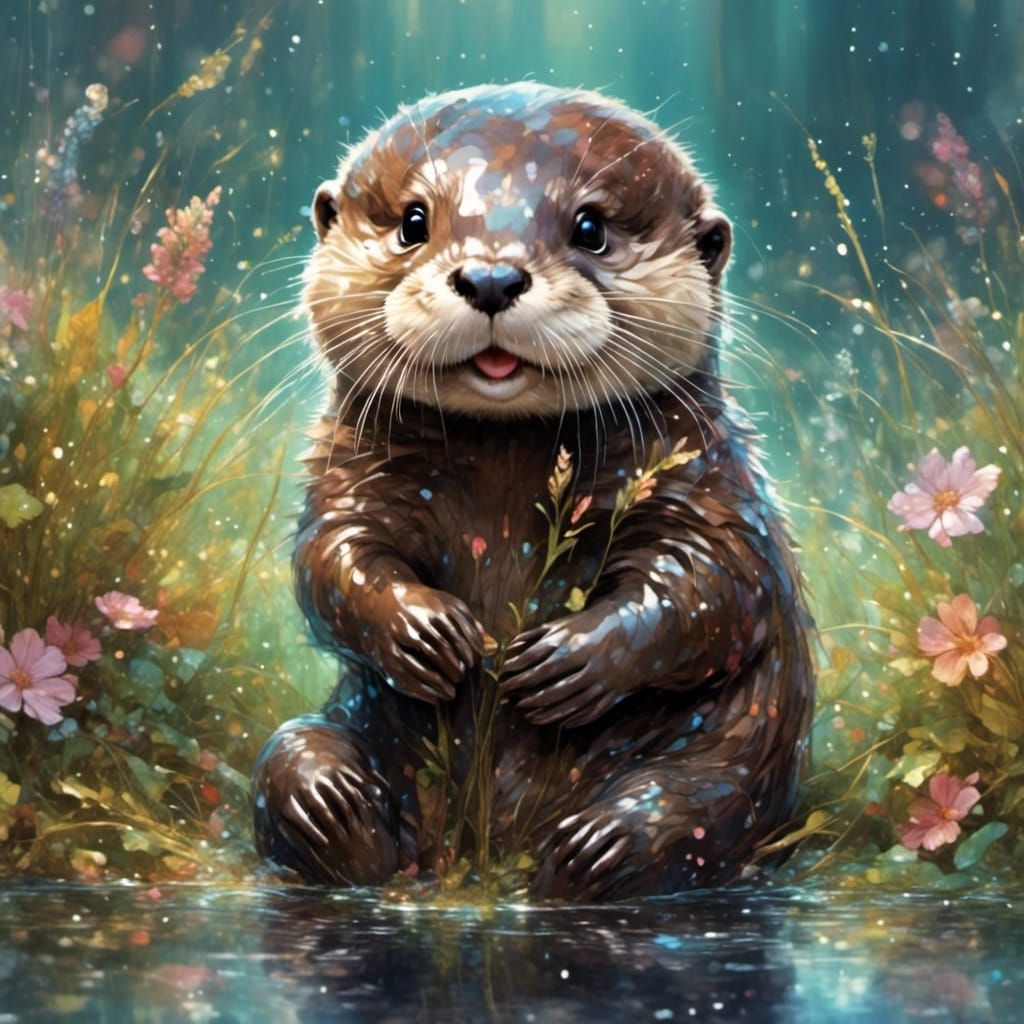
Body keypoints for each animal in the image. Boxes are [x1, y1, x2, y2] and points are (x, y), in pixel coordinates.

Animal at [252, 82, 815, 900]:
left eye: (591, 227)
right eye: (414, 221)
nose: (491, 277)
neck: (505, 472)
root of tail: (479, 851)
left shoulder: (704, 479)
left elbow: (718, 585)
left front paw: (571, 658)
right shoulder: (353, 474)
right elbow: (329, 559)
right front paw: (425, 632)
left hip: (739, 768)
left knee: (690, 814)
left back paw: (593, 848)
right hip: (340, 731)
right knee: (290, 762)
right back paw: (346, 820)